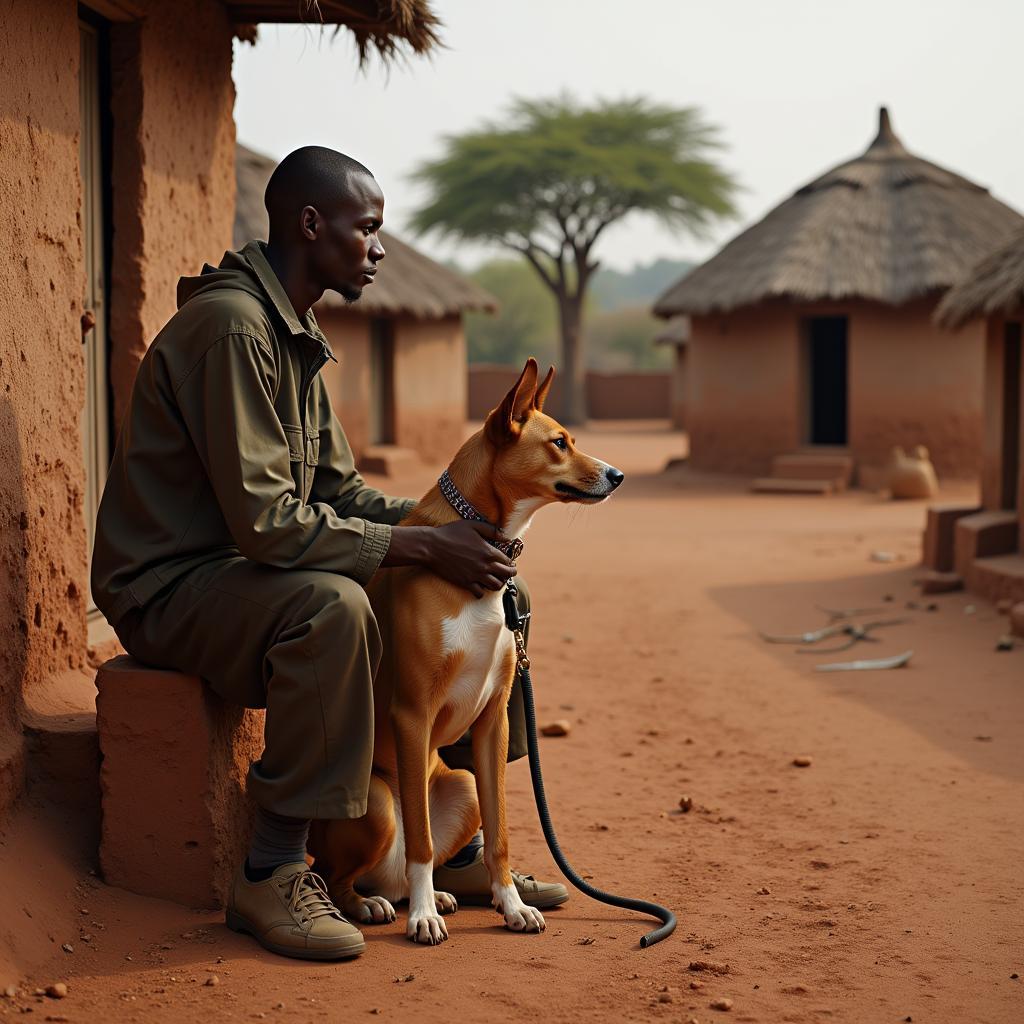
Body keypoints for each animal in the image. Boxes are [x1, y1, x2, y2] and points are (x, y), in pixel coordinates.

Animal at [307, 358, 618, 942]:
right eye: (559, 443)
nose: (618, 475)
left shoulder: (493, 718)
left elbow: (500, 835)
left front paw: (511, 905)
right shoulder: (412, 713)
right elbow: (424, 843)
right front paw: (423, 918)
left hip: (466, 786)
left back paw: (435, 895)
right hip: (378, 804)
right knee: (349, 875)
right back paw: (381, 905)